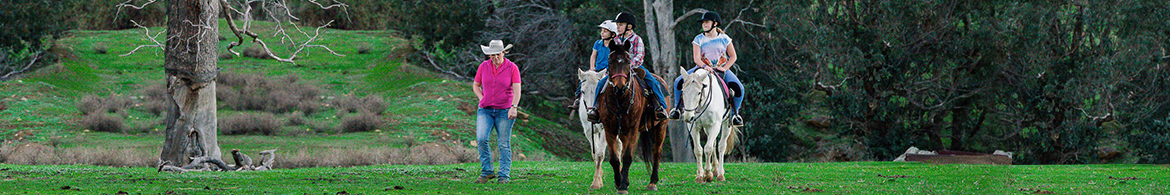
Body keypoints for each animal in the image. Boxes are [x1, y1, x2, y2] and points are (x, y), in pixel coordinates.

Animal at [599, 39, 673, 193]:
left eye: (628, 62)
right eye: (610, 62)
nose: (619, 87)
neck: (620, 100)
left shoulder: (633, 129)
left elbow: (627, 157)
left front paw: (622, 186)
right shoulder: (610, 129)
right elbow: (615, 159)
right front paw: (619, 182)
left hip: (661, 126)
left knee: (657, 151)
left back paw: (653, 182)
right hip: (624, 132)